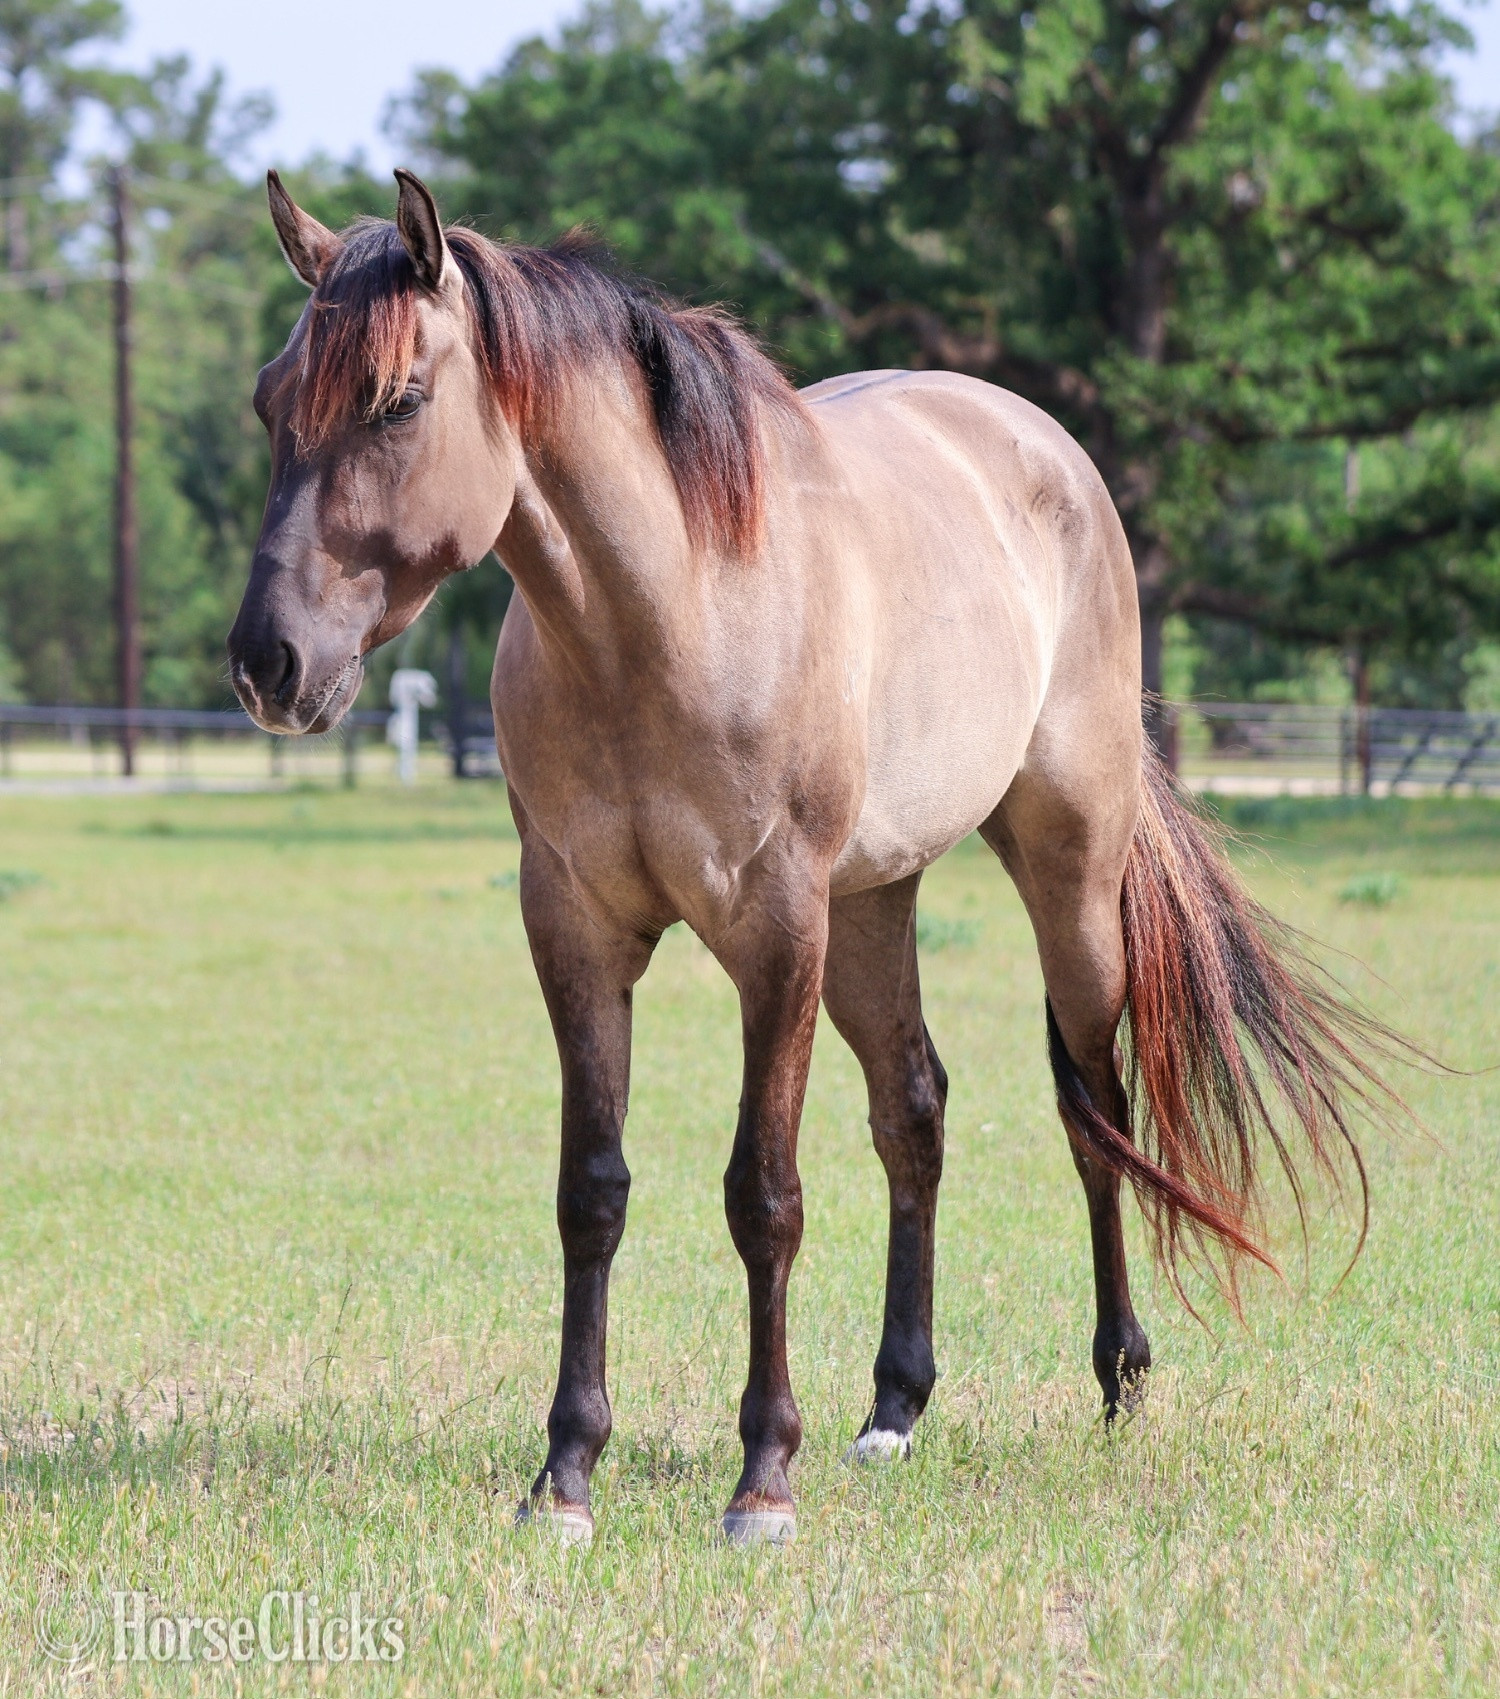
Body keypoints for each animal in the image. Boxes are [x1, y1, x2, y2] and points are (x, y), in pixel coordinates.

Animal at [228, 170, 1395, 1547]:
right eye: (269, 400)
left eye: (398, 400)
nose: (267, 661)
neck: (666, 616)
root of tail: (1044, 450)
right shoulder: (574, 928)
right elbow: (592, 1190)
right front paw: (566, 1472)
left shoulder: (776, 930)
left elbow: (764, 1195)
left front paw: (761, 1479)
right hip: (878, 905)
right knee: (915, 1113)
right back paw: (895, 1407)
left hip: (1065, 870)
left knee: (1095, 1109)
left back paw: (1119, 1377)